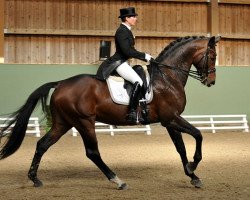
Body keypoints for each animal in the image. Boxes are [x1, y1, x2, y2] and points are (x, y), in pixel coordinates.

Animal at [0, 35, 221, 189]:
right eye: (212, 56)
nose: (211, 82)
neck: (167, 77)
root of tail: (61, 83)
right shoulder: (172, 118)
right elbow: (198, 135)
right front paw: (193, 166)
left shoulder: (169, 121)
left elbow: (181, 148)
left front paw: (192, 176)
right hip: (83, 122)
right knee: (92, 152)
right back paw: (118, 181)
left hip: (63, 123)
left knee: (42, 145)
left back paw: (35, 179)